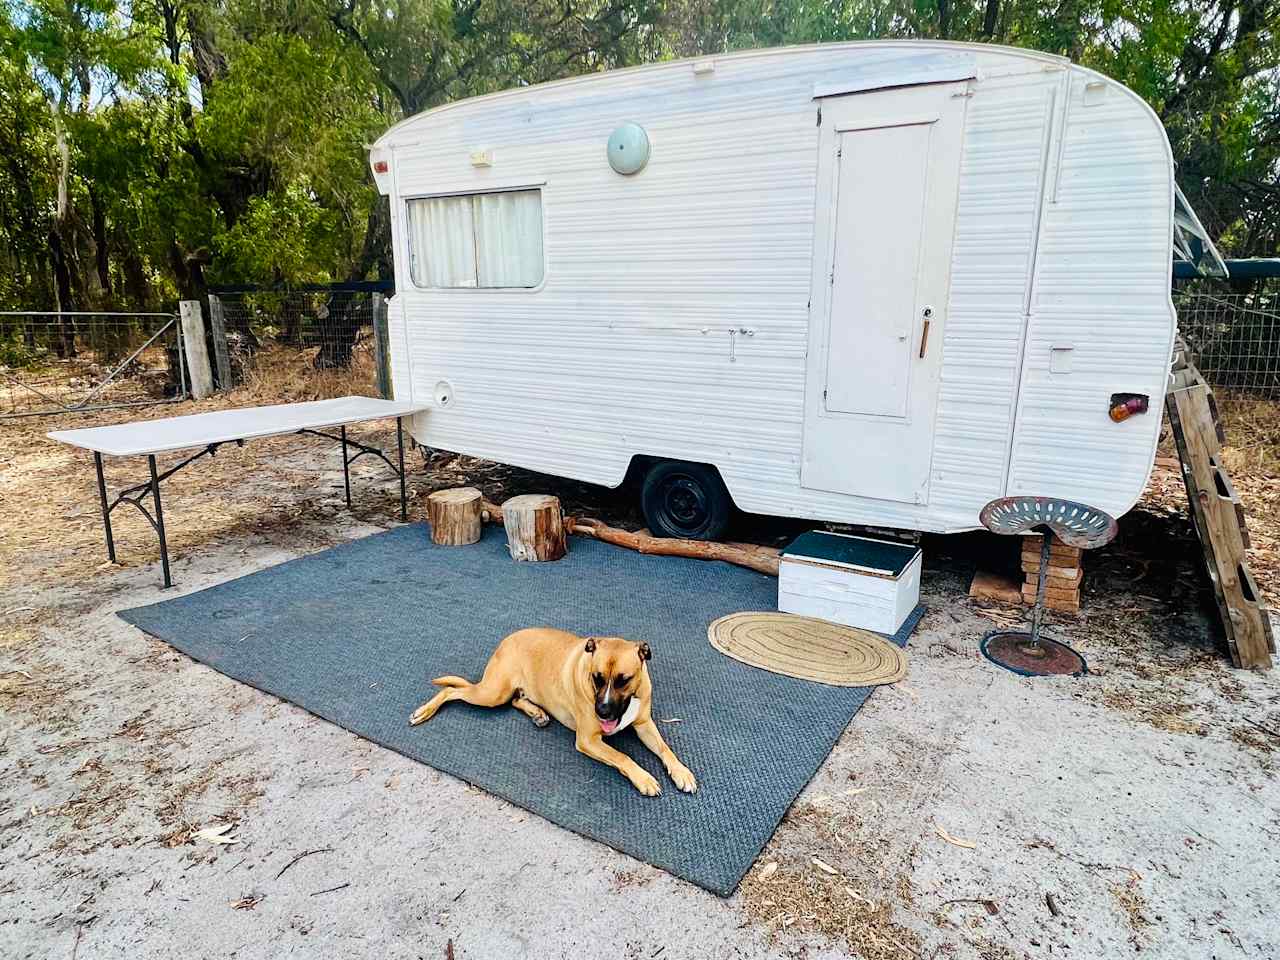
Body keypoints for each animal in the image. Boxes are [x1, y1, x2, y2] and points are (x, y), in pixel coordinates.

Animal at [407, 627, 696, 798]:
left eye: (624, 680)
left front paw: (682, 772)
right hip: (492, 693)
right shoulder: (588, 739)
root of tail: (507, 638)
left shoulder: (644, 724)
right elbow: (622, 757)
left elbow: (665, 749)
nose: (602, 711)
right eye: (597, 678)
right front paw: (644, 778)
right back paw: (423, 711)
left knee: (516, 700)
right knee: (451, 690)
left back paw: (538, 713)